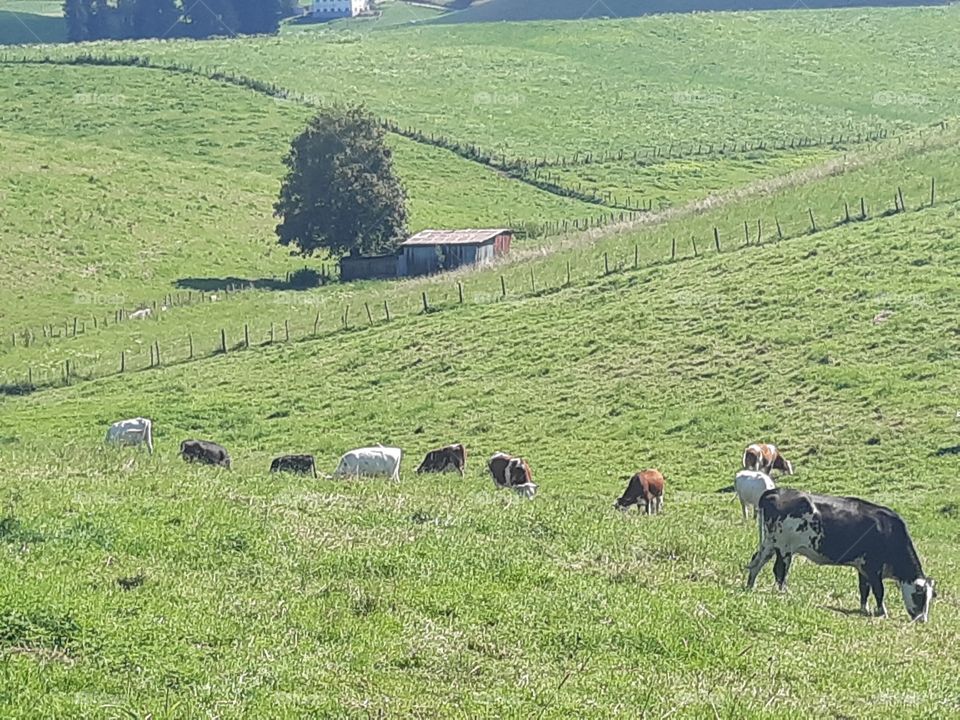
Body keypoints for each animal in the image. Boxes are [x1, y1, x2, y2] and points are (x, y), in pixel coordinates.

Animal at [746, 488, 935, 622]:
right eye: (919, 596)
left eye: (930, 598)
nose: (923, 620)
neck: (888, 531)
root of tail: (774, 492)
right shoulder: (872, 567)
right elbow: (879, 591)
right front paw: (882, 612)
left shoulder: (862, 567)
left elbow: (864, 589)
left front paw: (864, 609)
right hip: (784, 548)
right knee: (779, 571)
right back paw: (783, 593)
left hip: (770, 544)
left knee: (756, 562)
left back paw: (750, 586)